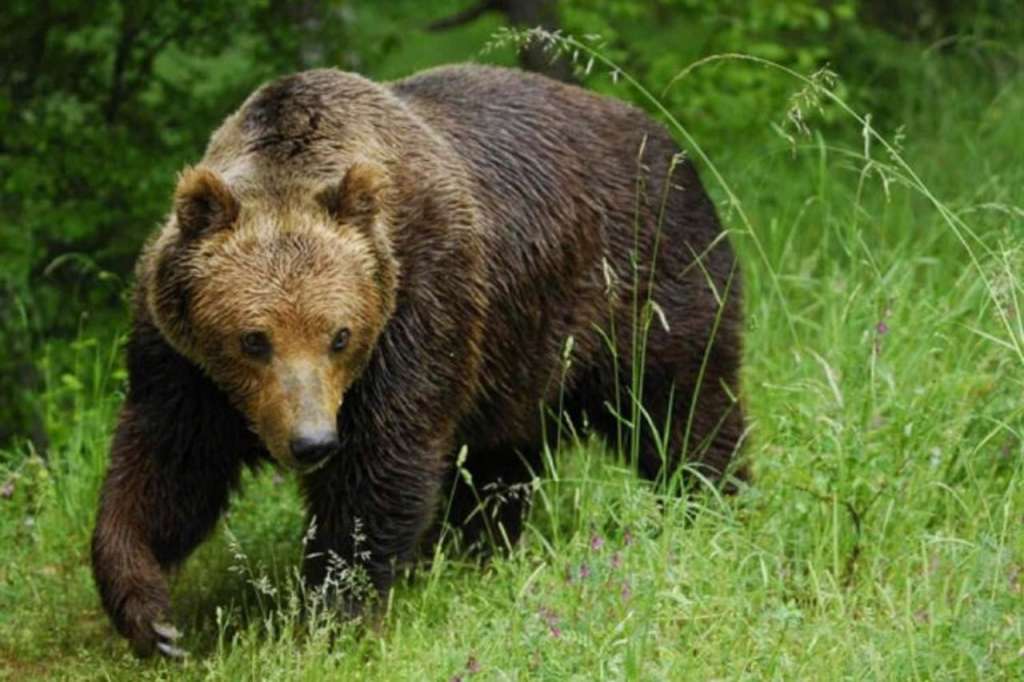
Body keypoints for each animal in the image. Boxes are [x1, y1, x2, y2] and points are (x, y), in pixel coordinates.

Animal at [90, 63, 745, 655]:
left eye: (340, 335)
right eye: (254, 338)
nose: (312, 442)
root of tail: (669, 139)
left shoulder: (417, 308)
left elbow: (381, 465)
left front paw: (333, 613)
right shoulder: (185, 365)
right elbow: (170, 466)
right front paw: (152, 614)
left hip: (641, 282)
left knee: (680, 404)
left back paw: (709, 500)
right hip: (517, 355)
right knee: (501, 460)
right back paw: (482, 547)